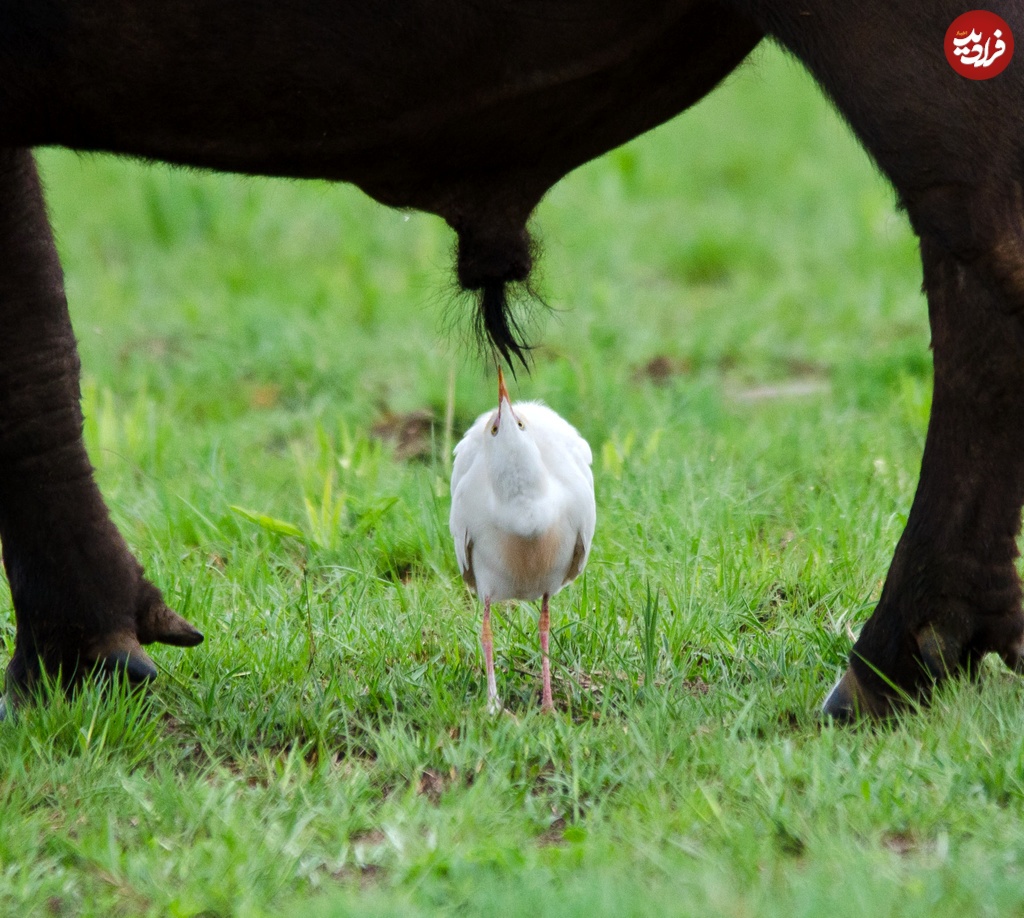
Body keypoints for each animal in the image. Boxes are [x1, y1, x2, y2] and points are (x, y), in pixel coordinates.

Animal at [0, 1, 1019, 717]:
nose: (498, 406)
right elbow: (37, 325)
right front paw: (84, 654)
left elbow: (28, 339)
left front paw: (71, 664)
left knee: (982, 246)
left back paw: (892, 664)